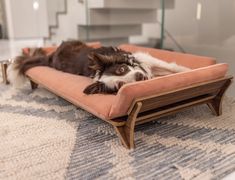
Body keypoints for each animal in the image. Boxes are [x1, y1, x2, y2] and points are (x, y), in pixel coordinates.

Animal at [7, 40, 191, 94]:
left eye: (122, 69)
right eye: (120, 85)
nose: (139, 77)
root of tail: (50, 57)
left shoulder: (143, 58)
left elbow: (171, 67)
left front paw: (188, 71)